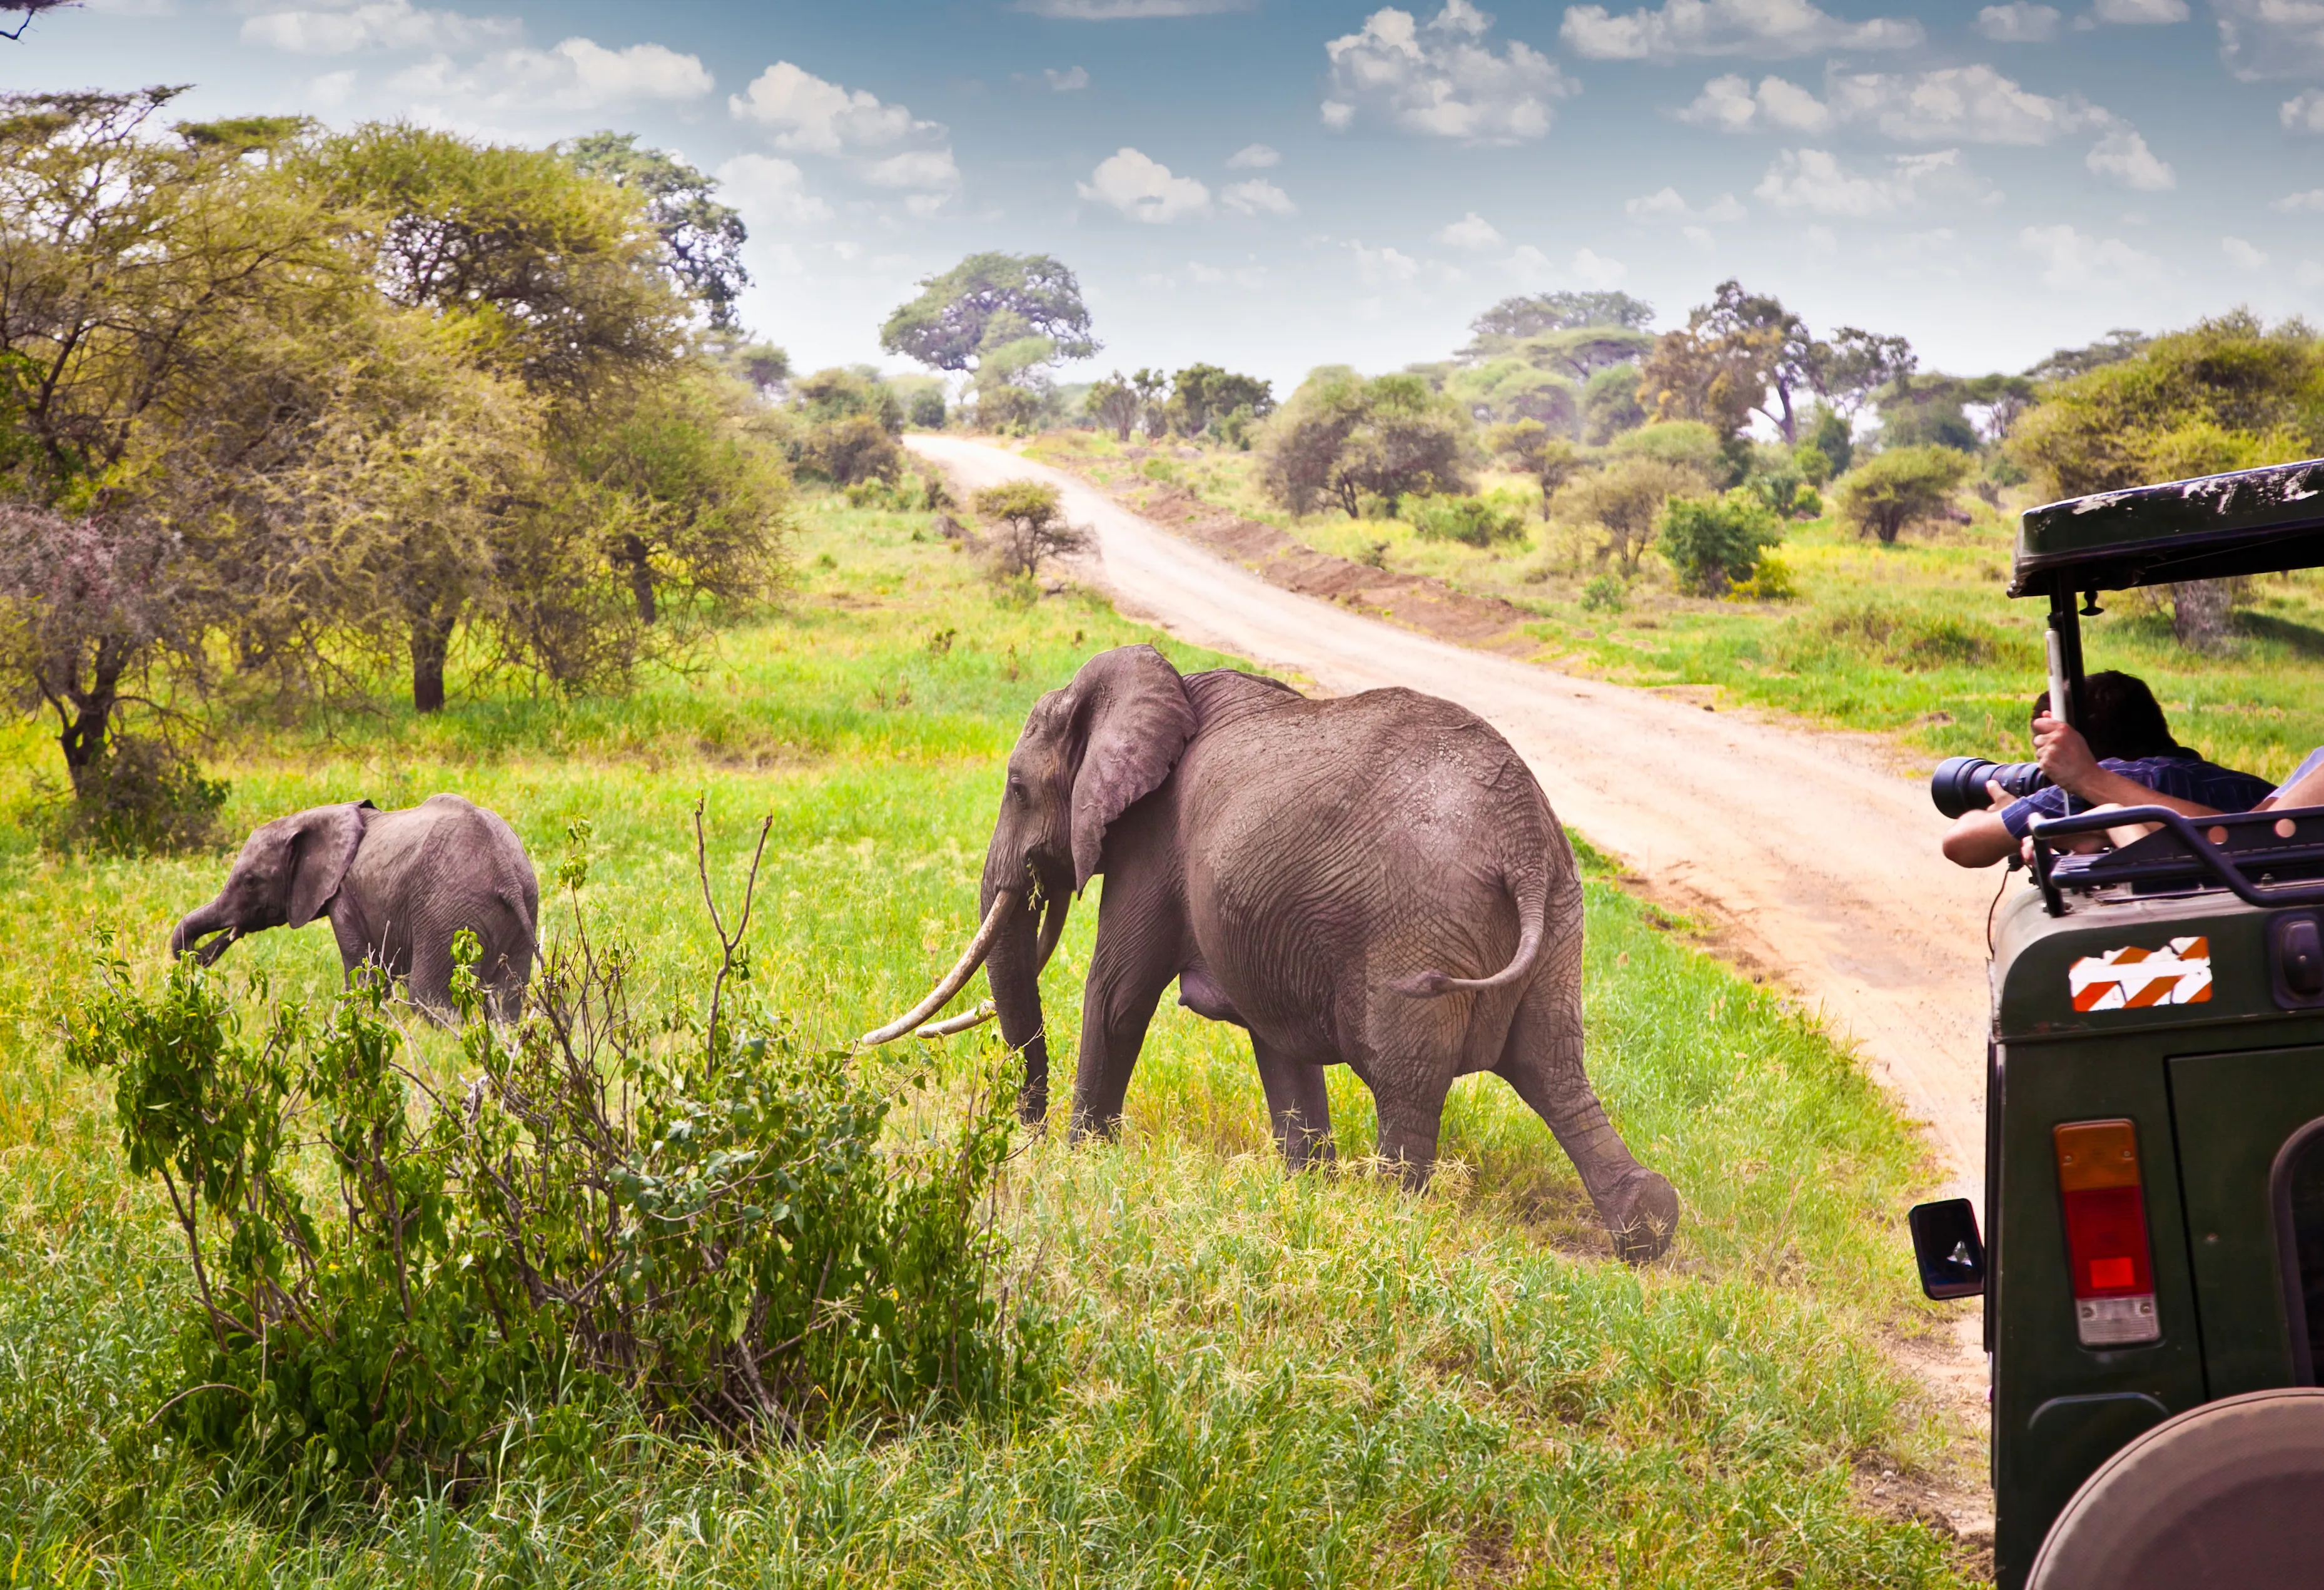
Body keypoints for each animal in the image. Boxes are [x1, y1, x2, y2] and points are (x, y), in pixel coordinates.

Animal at [169, 790, 539, 1018]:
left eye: (250, 881)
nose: (197, 956)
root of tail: (505, 872)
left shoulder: (344, 897)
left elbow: (363, 972)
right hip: (521, 908)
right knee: (507, 1000)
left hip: (448, 912)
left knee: (428, 998)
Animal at [864, 641, 1682, 1255]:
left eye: (1014, 787)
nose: (1022, 1134)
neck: (1158, 688)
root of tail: (1521, 842)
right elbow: (1276, 1045)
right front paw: (1306, 1189)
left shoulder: (1153, 843)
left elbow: (1117, 996)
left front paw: (1080, 1162)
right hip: (1561, 919)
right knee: (1554, 1068)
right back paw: (1646, 1227)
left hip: (1417, 928)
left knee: (1409, 1082)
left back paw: (1389, 1219)